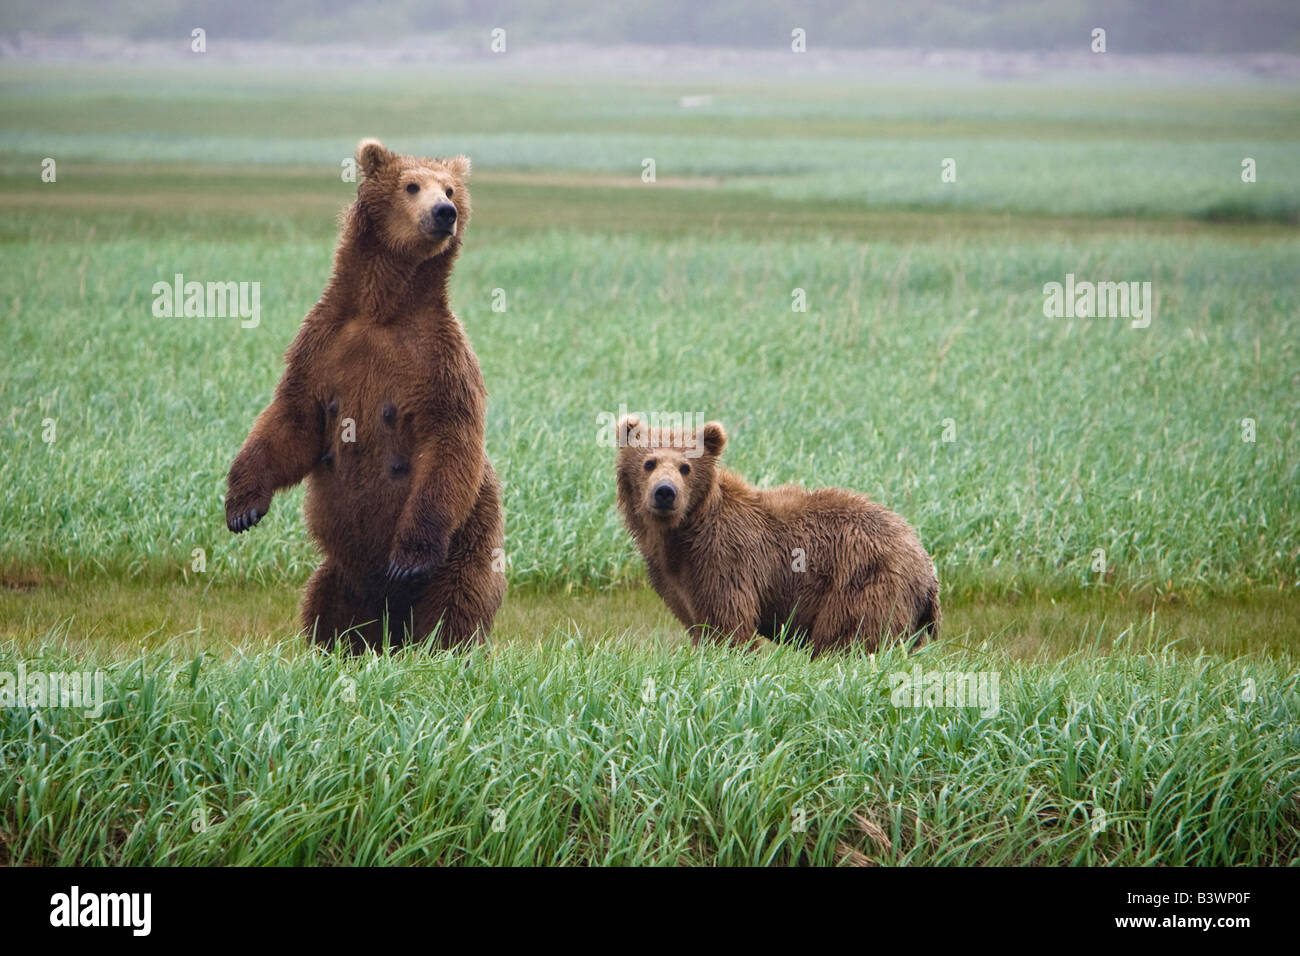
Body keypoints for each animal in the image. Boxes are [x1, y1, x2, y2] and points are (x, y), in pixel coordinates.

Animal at [225, 138, 504, 652]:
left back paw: (438, 647)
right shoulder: (322, 346)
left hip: (469, 547)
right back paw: (333, 648)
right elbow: (293, 419)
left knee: (454, 607)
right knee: (324, 607)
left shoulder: (441, 360)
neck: (383, 310)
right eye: (411, 185)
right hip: (342, 574)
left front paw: (409, 556)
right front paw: (243, 507)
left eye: (449, 188)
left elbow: (449, 440)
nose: (445, 212)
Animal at [615, 417, 939, 656]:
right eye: (649, 463)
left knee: (849, 639)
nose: (665, 492)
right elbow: (696, 622)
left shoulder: (725, 559)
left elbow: (730, 624)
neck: (680, 533)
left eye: (685, 467)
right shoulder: (675, 579)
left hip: (865, 583)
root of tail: (927, 565)